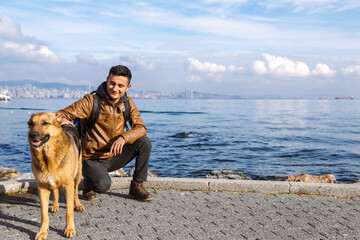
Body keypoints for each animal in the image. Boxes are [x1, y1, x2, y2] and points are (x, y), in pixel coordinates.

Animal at [28, 111, 84, 239]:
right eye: (31, 123)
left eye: (45, 123)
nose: (31, 135)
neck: (47, 155)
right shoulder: (42, 188)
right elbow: (44, 214)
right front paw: (43, 231)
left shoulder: (68, 186)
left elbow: (69, 212)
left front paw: (70, 229)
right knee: (56, 191)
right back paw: (55, 205)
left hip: (78, 174)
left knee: (75, 191)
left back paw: (78, 205)